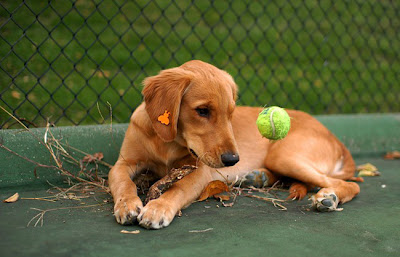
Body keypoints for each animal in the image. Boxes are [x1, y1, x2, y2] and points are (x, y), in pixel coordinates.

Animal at [108, 60, 360, 228]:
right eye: (202, 111)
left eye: (231, 113)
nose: (233, 160)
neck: (167, 143)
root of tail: (336, 139)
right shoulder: (122, 163)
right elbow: (123, 183)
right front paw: (126, 204)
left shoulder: (199, 172)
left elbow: (177, 189)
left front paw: (158, 208)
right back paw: (258, 177)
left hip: (284, 155)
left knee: (350, 185)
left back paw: (328, 198)